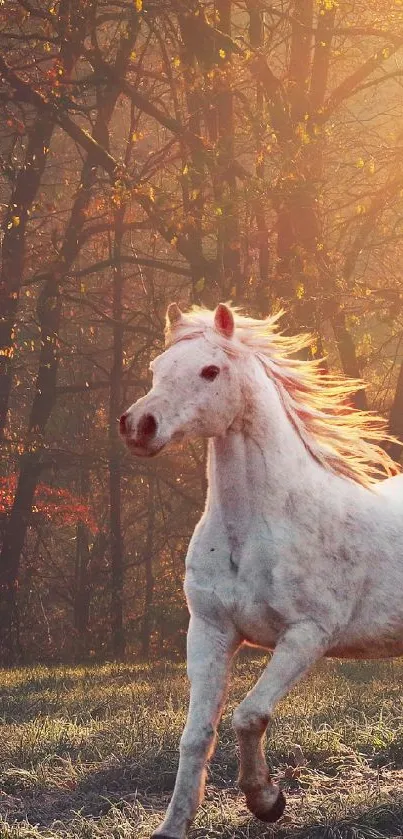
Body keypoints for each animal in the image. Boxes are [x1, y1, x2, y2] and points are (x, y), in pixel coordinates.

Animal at [120, 304, 403, 839]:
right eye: (156, 367)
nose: (138, 426)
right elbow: (196, 735)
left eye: (211, 371)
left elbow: (248, 716)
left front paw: (267, 800)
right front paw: (172, 826)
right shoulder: (209, 631)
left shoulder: (307, 635)